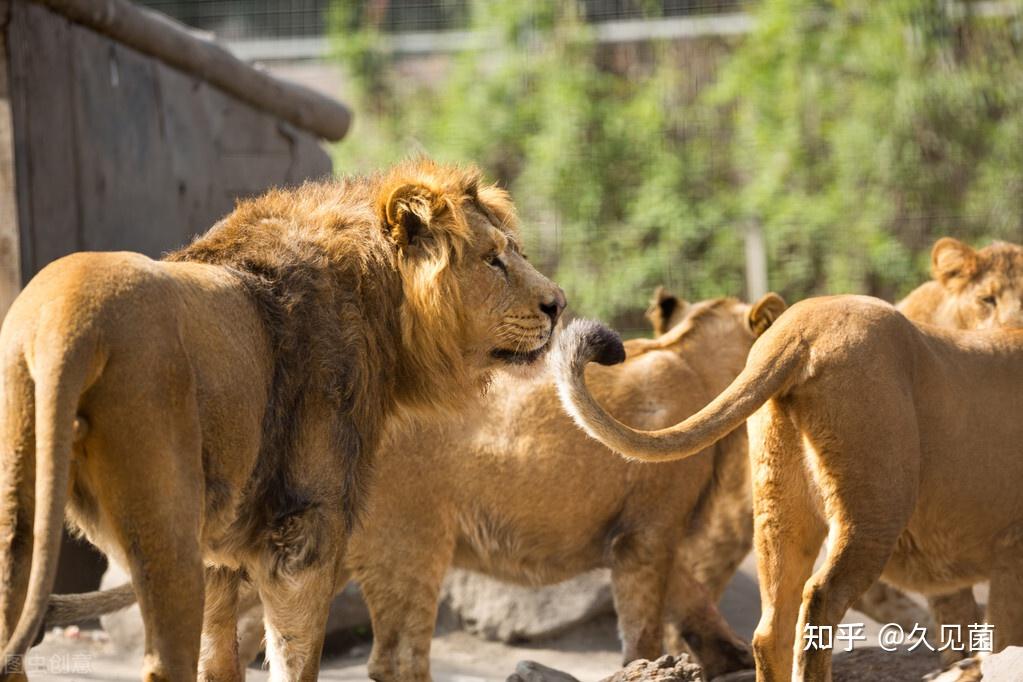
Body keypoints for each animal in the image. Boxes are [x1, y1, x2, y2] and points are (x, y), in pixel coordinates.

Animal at [0, 161, 564, 682]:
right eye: (493, 259)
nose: (558, 305)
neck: (379, 299)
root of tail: (66, 319)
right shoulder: (303, 530)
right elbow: (296, 658)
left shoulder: (223, 556)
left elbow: (219, 661)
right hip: (167, 523)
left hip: (21, 517)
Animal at [552, 296, 1023, 682]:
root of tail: (798, 329)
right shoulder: (1010, 552)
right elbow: (1001, 645)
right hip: (874, 510)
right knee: (819, 600)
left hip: (779, 511)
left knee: (770, 628)